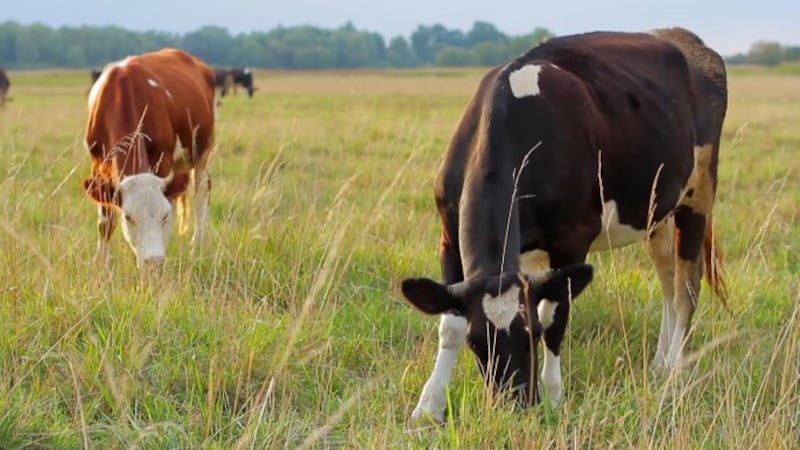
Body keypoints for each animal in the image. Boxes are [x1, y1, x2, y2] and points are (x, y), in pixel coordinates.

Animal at [82, 48, 217, 268]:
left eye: (163, 216)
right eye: (128, 217)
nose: (154, 261)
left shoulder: (164, 163)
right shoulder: (98, 166)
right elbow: (106, 221)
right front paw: (101, 265)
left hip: (203, 151)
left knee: (201, 194)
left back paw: (198, 247)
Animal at [399, 28, 727, 422]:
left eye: (532, 334)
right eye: (476, 343)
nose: (515, 402)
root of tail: (681, 36)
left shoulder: (572, 241)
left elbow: (556, 316)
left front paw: (554, 398)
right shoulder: (449, 236)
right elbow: (450, 323)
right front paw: (428, 407)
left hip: (698, 195)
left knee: (686, 288)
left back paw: (676, 370)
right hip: (655, 212)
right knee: (667, 279)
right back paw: (661, 363)